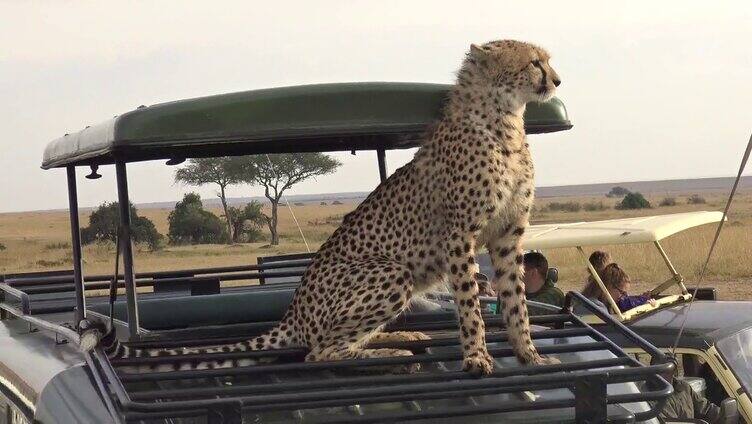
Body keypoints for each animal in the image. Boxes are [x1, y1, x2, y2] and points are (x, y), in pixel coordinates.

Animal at [92, 39, 560, 376]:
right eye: (534, 62)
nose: (557, 80)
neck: (506, 122)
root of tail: (294, 312)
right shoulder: (460, 232)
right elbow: (469, 303)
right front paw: (477, 357)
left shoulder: (508, 233)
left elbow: (516, 300)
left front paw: (529, 355)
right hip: (391, 272)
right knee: (319, 352)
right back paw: (388, 354)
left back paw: (399, 339)